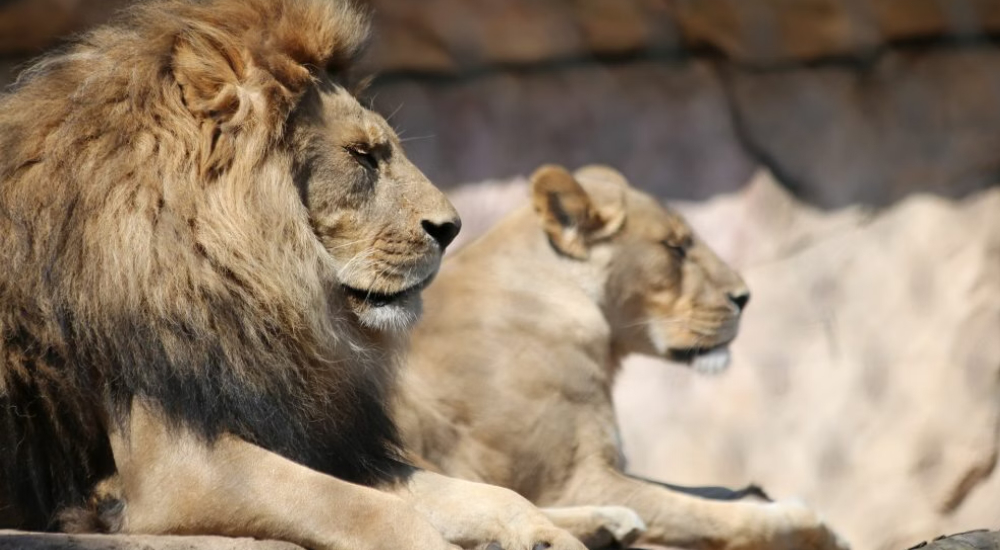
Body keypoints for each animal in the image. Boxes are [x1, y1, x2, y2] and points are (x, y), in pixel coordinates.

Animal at [0, 2, 588, 549]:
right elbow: (374, 510)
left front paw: (546, 534)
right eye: (362, 156)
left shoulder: (314, 433)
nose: (452, 228)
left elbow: (484, 493)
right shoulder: (175, 468)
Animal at [397, 165, 851, 550]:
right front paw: (815, 526)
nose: (744, 297)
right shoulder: (574, 480)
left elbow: (698, 493)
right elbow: (706, 513)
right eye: (675, 247)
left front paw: (754, 493)